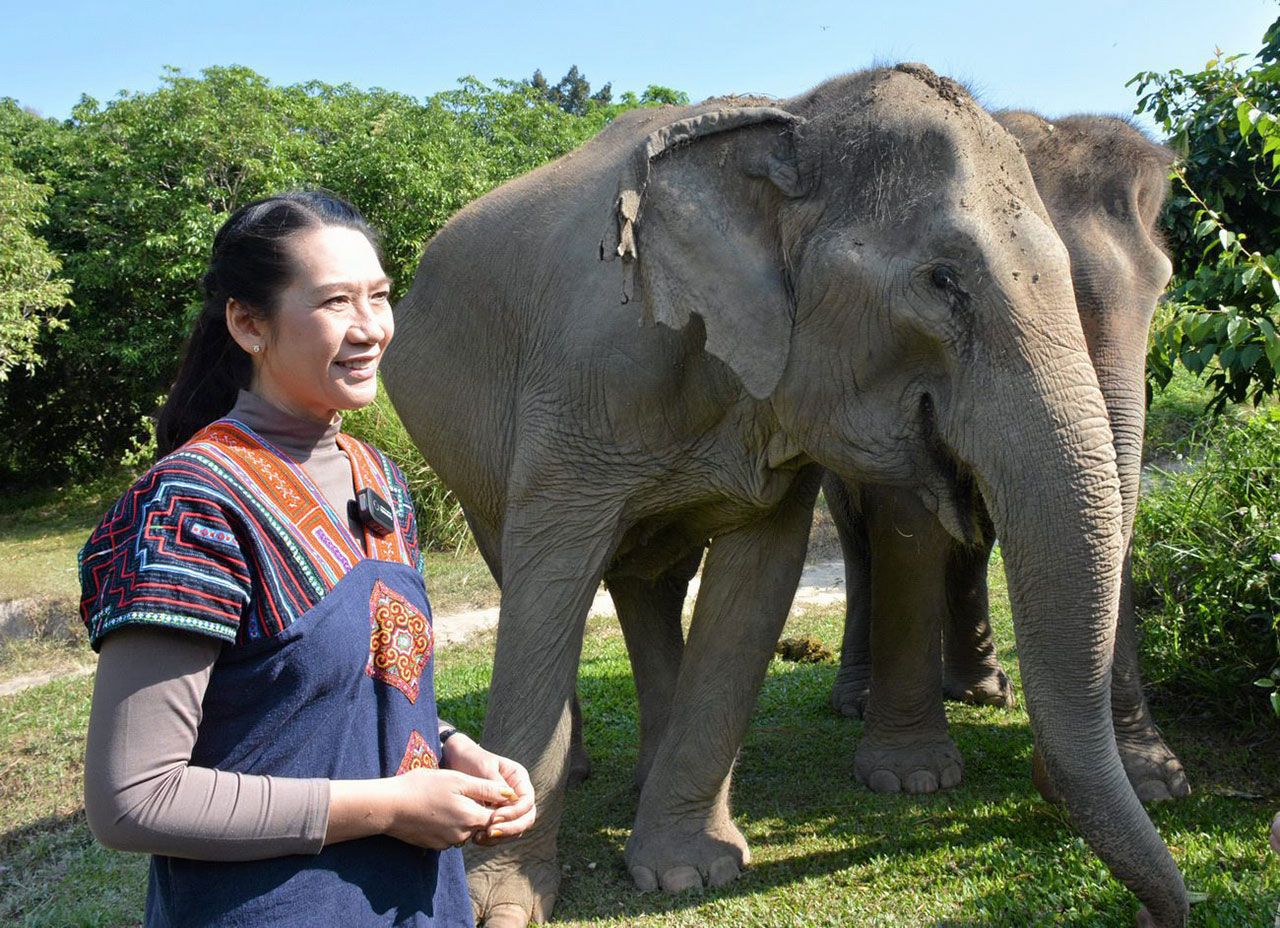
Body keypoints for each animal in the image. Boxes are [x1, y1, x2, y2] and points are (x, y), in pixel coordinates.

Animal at [824, 110, 1182, 803]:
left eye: (1162, 290)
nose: (1048, 781)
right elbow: (906, 521)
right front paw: (911, 777)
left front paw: (1157, 781)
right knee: (857, 539)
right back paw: (854, 702)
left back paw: (984, 693)